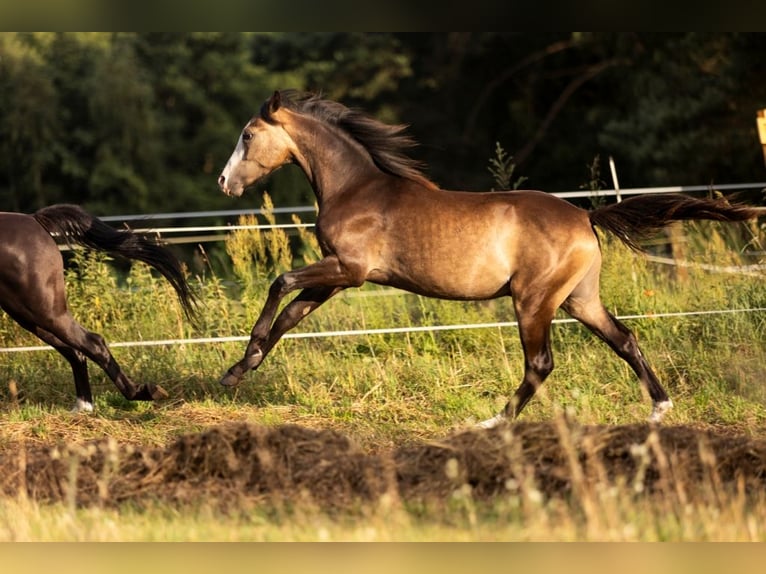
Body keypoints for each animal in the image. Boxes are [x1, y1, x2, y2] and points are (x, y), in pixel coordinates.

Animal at [1, 207, 198, 414]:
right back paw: (83, 407)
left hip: (44, 311)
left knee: (92, 344)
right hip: (27, 314)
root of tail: (35, 220)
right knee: (75, 351)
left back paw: (141, 393)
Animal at [216, 90, 760, 428]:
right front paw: (239, 370)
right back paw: (659, 410)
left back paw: (493, 421)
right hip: (579, 299)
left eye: (247, 135)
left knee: (540, 363)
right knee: (625, 339)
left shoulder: (349, 270)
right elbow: (291, 313)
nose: (224, 182)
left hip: (533, 301)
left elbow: (281, 283)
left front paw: (244, 359)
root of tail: (587, 216)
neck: (357, 187)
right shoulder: (339, 276)